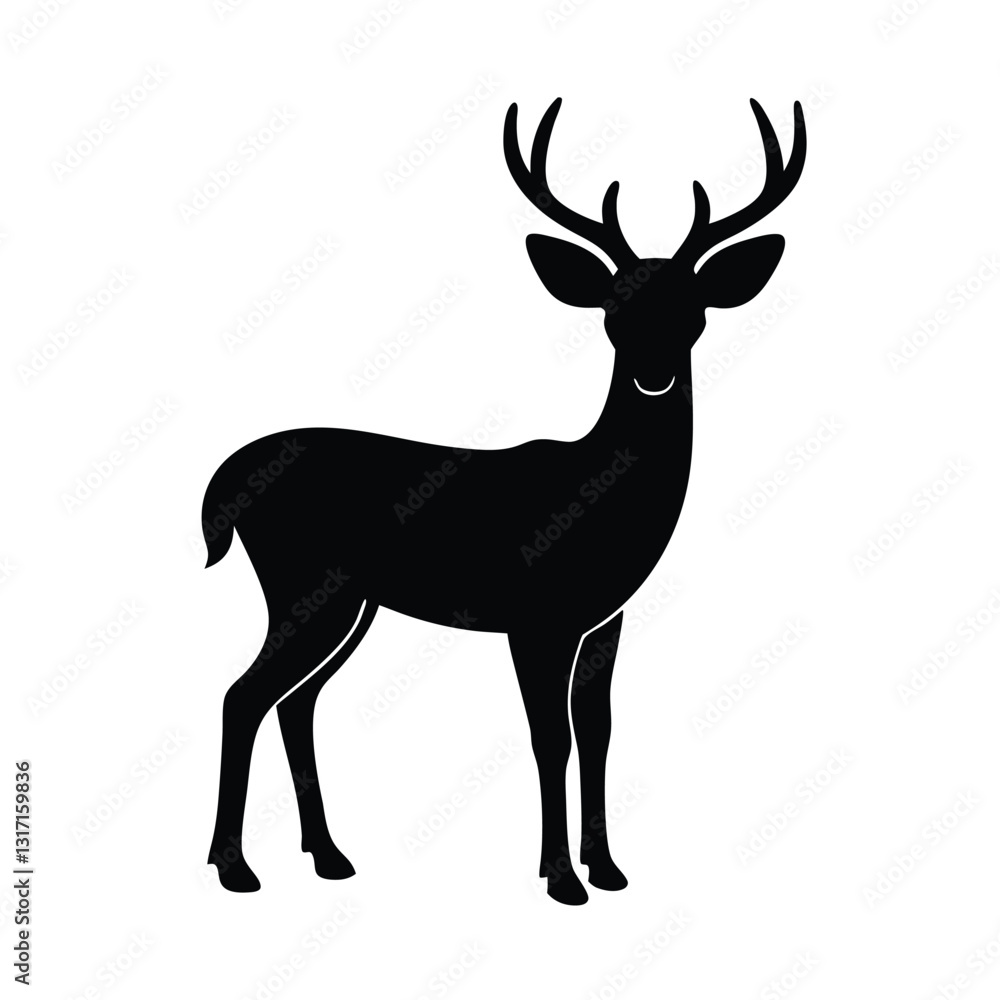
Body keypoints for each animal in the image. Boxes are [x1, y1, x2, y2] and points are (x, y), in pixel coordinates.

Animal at [201, 96, 806, 905]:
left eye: (693, 313)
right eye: (613, 312)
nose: (652, 376)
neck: (601, 500)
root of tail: (222, 487)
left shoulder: (604, 617)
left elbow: (598, 730)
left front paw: (607, 869)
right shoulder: (536, 615)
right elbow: (550, 737)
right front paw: (562, 878)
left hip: (351, 602)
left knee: (295, 702)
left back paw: (328, 856)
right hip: (305, 582)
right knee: (244, 695)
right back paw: (235, 867)